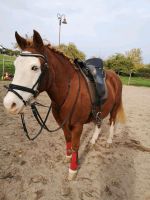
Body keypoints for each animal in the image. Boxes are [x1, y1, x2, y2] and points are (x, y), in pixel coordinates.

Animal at [3, 30, 125, 180]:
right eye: (15, 65)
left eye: (34, 67)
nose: (9, 104)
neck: (69, 90)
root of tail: (115, 76)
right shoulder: (63, 123)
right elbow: (68, 139)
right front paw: (69, 156)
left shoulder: (78, 126)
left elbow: (76, 145)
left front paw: (73, 169)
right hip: (100, 110)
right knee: (99, 123)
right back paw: (93, 141)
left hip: (114, 107)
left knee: (112, 122)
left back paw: (109, 142)